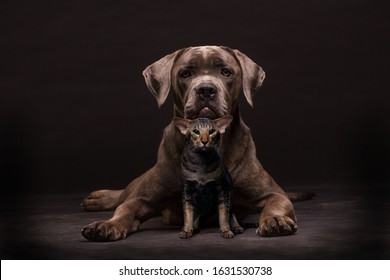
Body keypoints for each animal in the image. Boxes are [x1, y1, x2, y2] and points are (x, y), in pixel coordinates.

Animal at [80, 45, 300, 241]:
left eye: (226, 72)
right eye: (185, 73)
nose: (206, 89)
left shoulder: (273, 193)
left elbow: (276, 204)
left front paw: (275, 220)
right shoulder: (143, 199)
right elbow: (125, 208)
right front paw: (107, 224)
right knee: (124, 194)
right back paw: (97, 198)